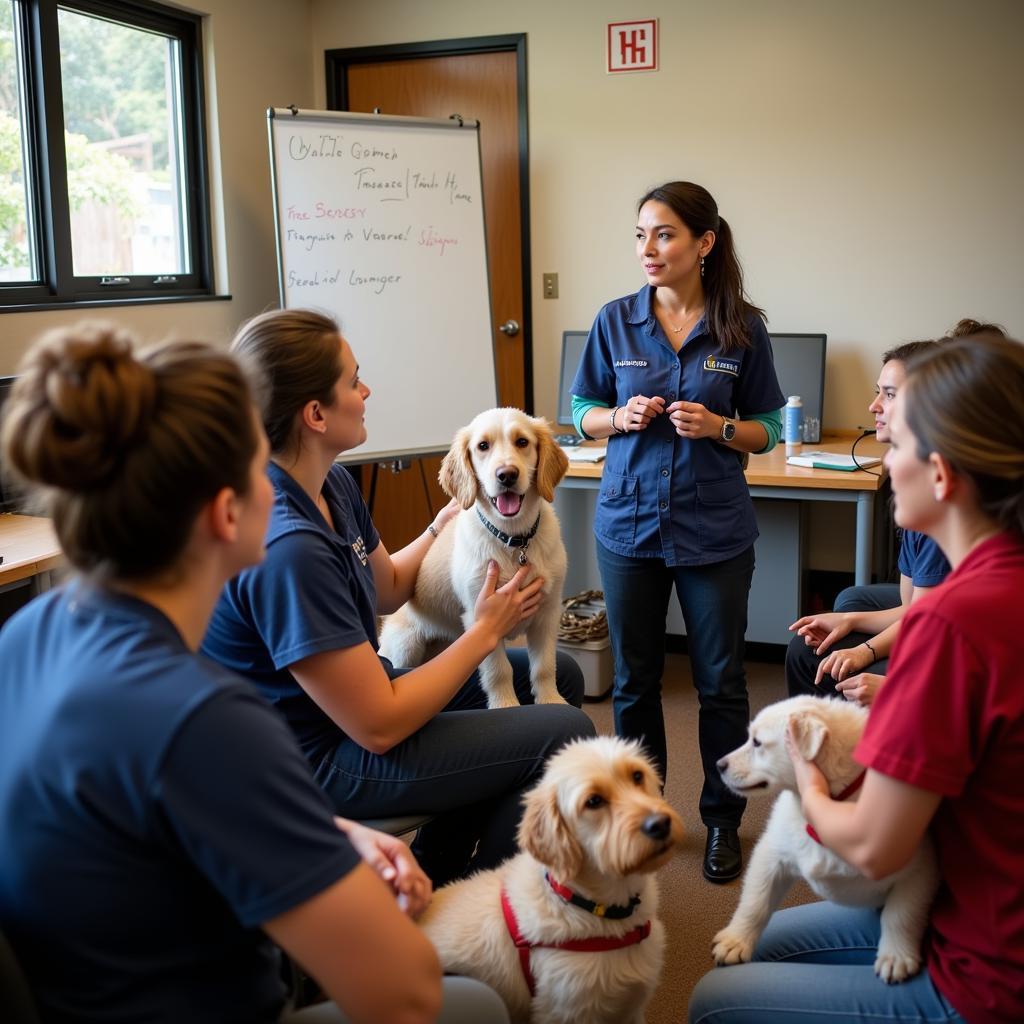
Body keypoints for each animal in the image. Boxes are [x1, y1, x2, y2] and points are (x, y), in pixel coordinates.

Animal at [378, 403, 573, 708]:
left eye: (522, 442)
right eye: (483, 446)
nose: (507, 474)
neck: (512, 540)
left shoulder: (548, 611)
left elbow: (544, 666)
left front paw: (551, 701)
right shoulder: (480, 617)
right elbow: (499, 670)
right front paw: (505, 706)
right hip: (404, 645)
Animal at [712, 696, 937, 983]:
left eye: (757, 742)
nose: (719, 765)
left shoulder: (920, 870)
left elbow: (901, 914)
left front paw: (896, 955)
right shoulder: (771, 854)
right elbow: (756, 901)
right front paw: (736, 940)